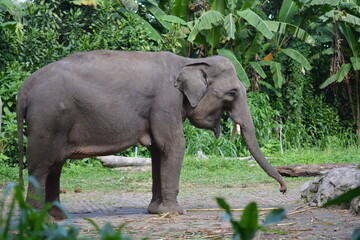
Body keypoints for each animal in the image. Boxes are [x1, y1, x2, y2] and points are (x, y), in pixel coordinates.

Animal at [16, 50, 286, 219]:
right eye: (232, 93)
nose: (283, 190)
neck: (190, 60)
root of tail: (25, 87)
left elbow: (157, 151)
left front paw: (155, 210)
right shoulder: (165, 101)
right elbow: (174, 145)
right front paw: (174, 212)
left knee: (55, 166)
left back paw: (58, 217)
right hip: (47, 120)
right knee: (41, 166)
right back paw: (42, 220)